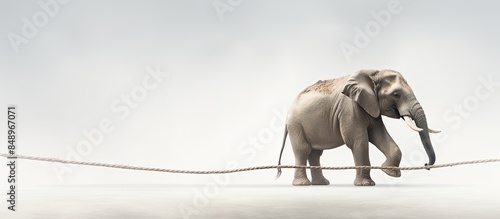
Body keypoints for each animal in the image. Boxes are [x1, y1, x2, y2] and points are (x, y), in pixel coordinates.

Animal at [276, 69, 440, 186]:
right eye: (396, 94)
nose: (426, 164)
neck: (373, 74)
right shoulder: (349, 108)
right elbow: (358, 140)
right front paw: (366, 184)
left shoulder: (372, 107)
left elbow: (379, 135)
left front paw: (390, 173)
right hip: (296, 125)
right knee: (303, 150)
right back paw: (302, 184)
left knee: (315, 153)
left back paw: (321, 184)